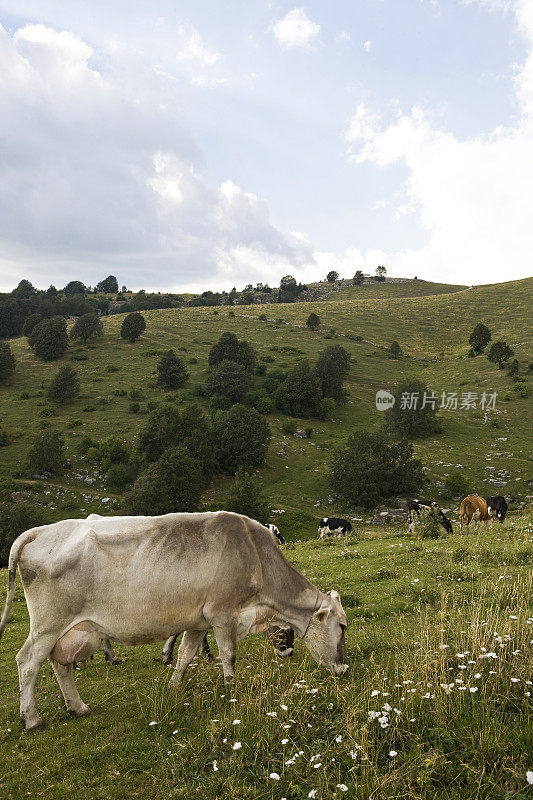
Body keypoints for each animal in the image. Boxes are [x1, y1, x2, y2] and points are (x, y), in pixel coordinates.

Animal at [0, 512, 348, 732]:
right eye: (343, 627)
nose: (344, 670)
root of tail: (40, 531)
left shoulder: (198, 621)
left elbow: (185, 654)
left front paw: (174, 685)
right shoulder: (223, 614)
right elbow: (229, 655)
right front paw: (231, 691)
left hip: (69, 630)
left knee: (60, 664)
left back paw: (78, 706)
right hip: (48, 624)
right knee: (28, 662)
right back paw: (31, 719)